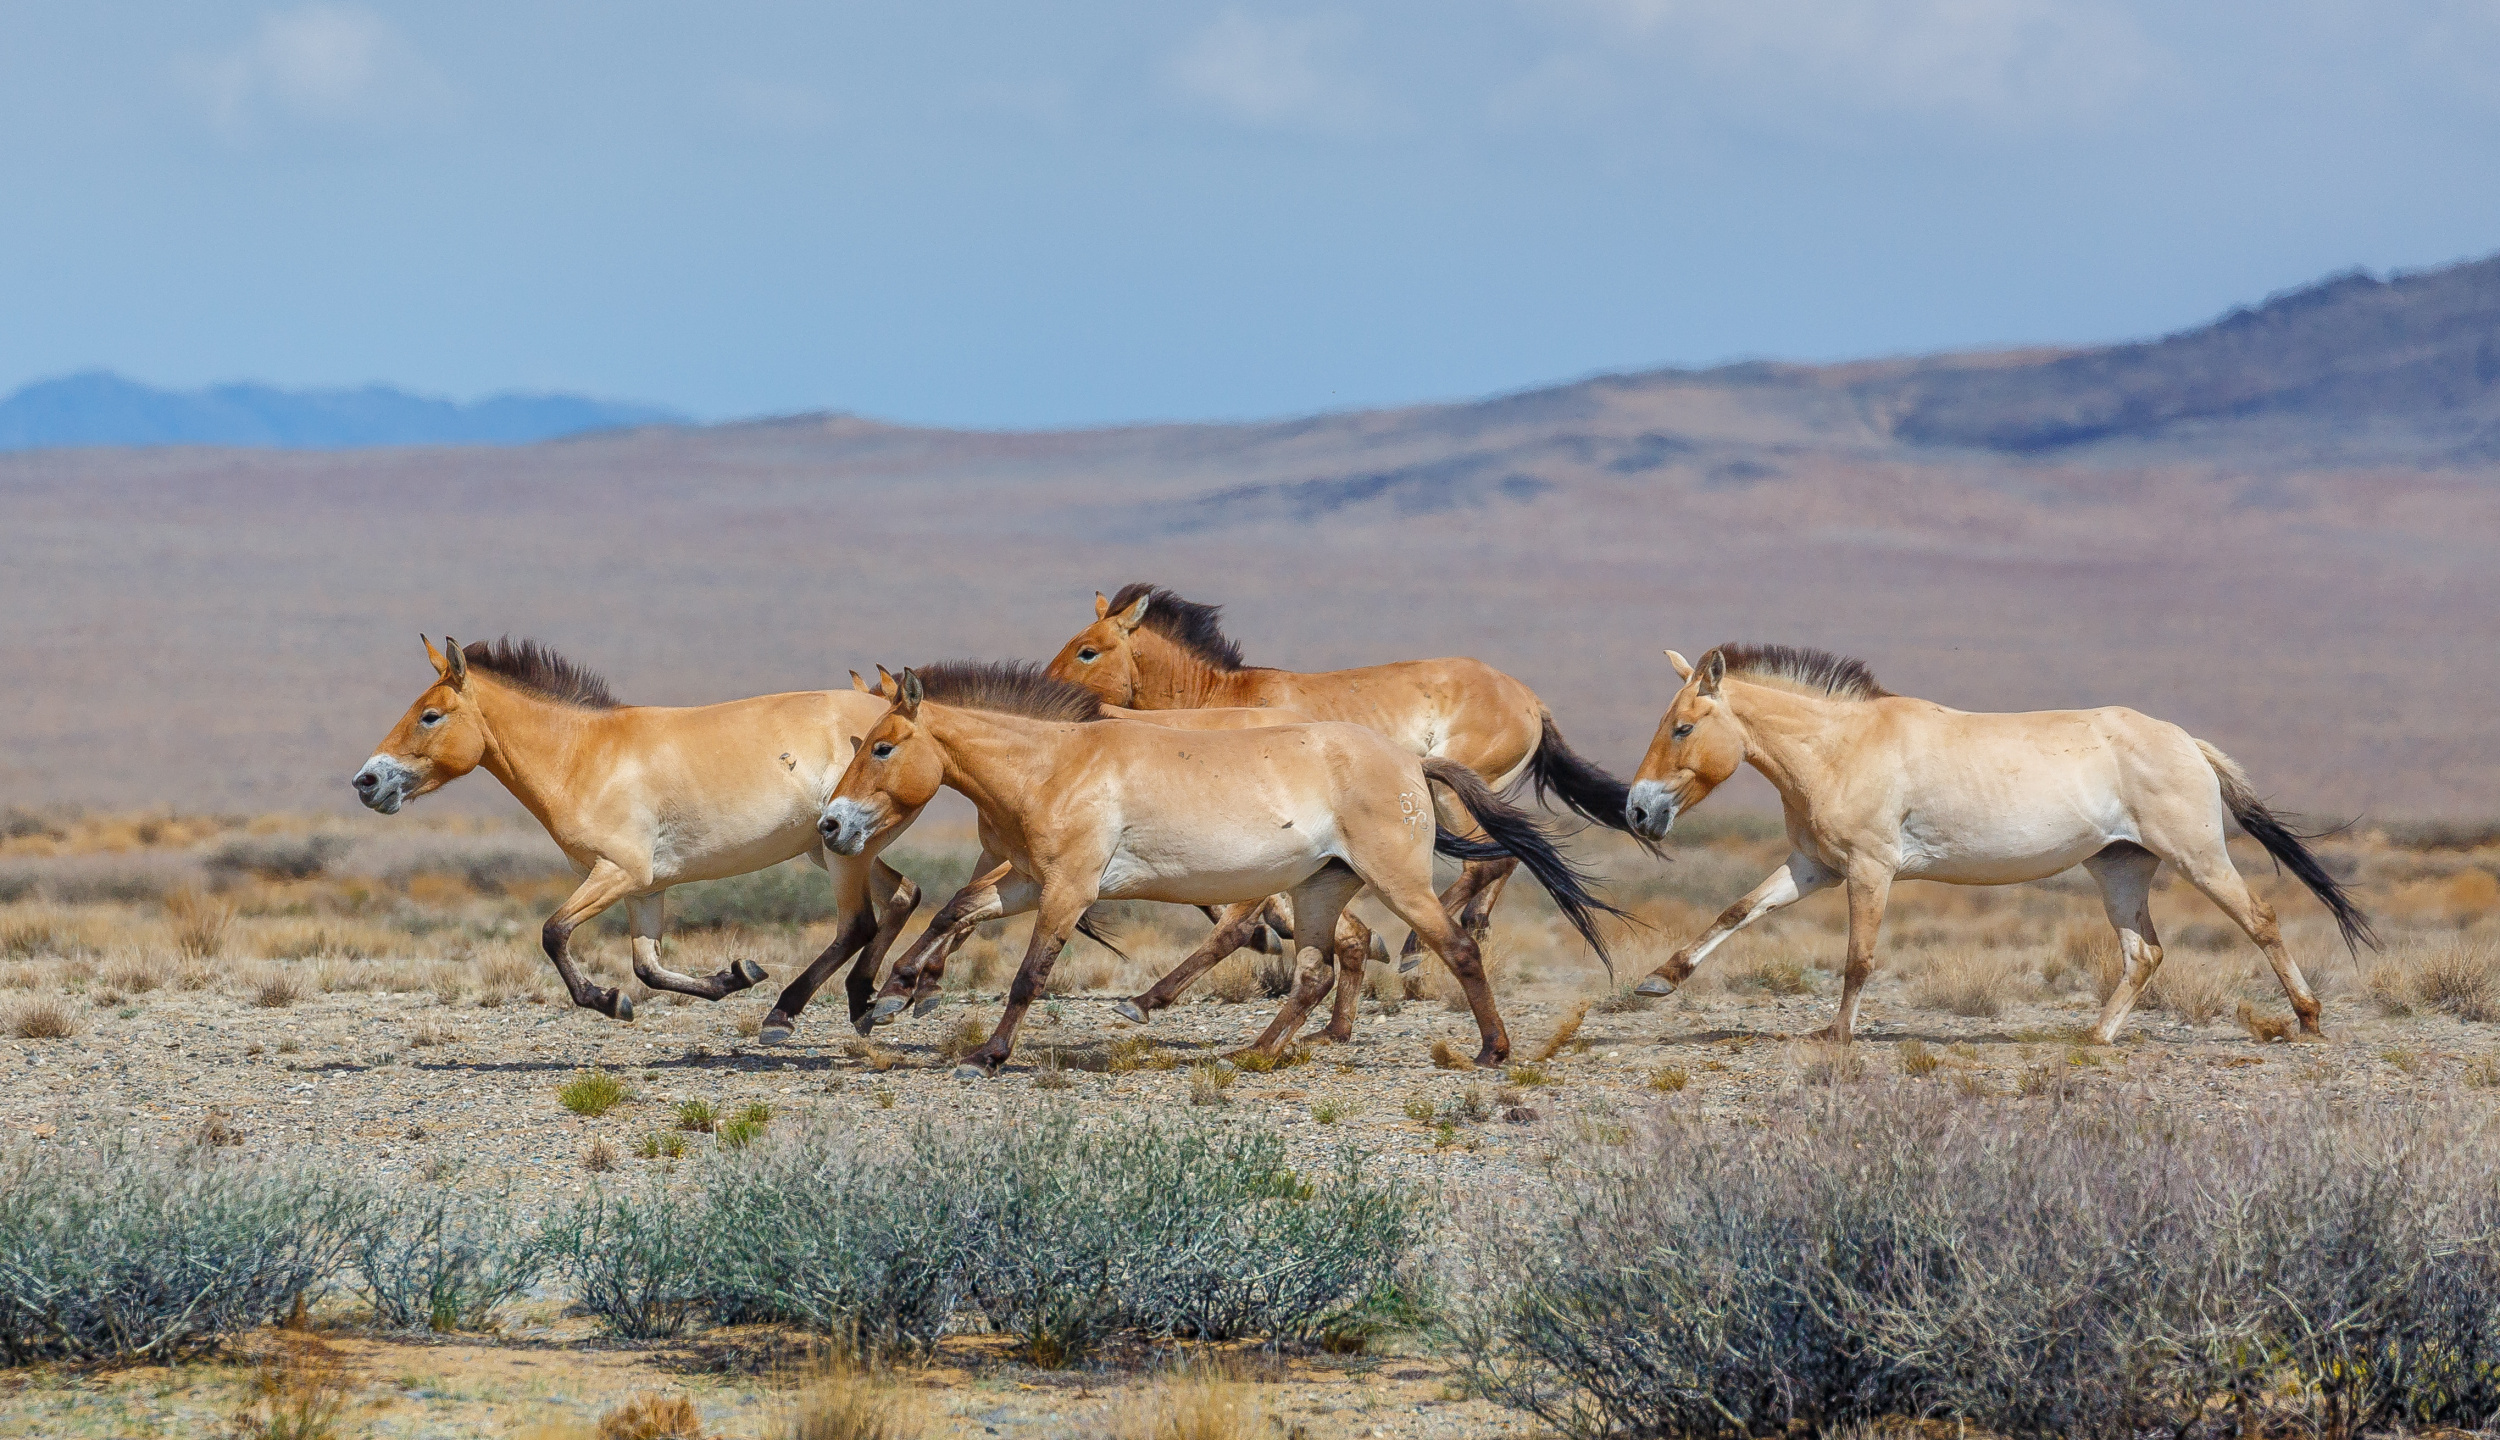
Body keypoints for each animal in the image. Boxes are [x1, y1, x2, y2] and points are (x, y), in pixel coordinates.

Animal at [357, 635, 925, 1030]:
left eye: (430, 716)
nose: (367, 782)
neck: (584, 756)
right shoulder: (645, 888)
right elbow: (648, 967)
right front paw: (735, 976)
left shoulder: (617, 872)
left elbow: (554, 932)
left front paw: (609, 1002)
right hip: (833, 847)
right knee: (903, 895)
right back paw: (872, 1002)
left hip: (842, 853)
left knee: (858, 924)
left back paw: (786, 1014)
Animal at [810, 660, 1610, 1070]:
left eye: (881, 746)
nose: (831, 823)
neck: (1055, 764)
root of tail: (1412, 761)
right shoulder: (1033, 882)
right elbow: (958, 910)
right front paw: (890, 996)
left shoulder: (1068, 890)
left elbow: (1030, 973)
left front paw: (988, 1052)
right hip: (1320, 888)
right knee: (1317, 971)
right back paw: (1253, 1052)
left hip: (1398, 883)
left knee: (1458, 946)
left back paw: (1493, 1050)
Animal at [1050, 585, 1650, 1000]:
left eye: (1087, 650)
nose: (1047, 688)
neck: (1220, 700)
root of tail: (1528, 698)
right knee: (1504, 859)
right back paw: (1465, 932)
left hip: (1452, 797)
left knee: (1489, 860)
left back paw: (1415, 952)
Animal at [1620, 645, 2360, 1040]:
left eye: (1683, 727)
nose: (1636, 809)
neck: (1840, 748)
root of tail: (2186, 741)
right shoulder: (1813, 868)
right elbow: (1737, 911)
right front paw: (1657, 982)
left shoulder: (1869, 870)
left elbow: (1858, 958)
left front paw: (1837, 1034)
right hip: (2119, 869)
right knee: (2144, 953)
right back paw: (2095, 1037)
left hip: (2197, 858)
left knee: (2261, 920)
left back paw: (2309, 1020)